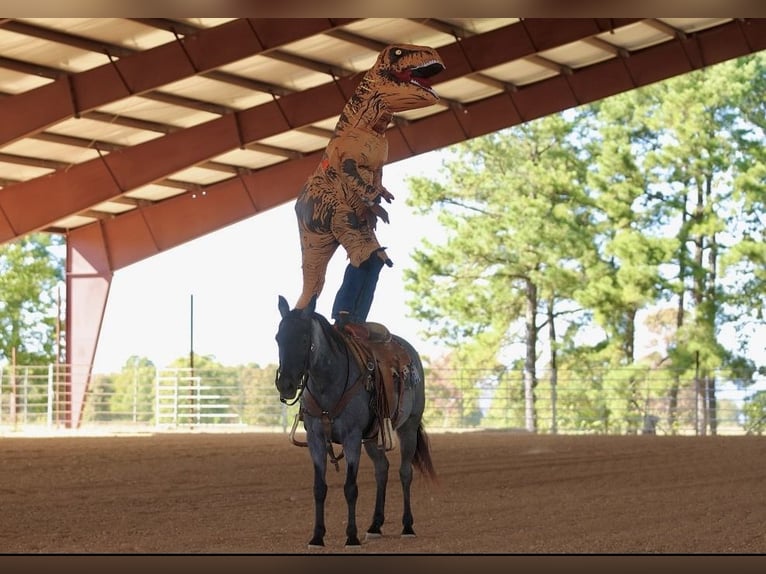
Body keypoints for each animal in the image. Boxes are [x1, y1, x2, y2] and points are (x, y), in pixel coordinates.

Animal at [275, 294, 437, 548]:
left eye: (303, 339)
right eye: (278, 338)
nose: (285, 385)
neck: (329, 382)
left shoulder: (351, 438)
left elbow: (350, 488)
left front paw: (351, 537)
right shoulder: (316, 439)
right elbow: (319, 487)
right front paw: (317, 537)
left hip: (408, 428)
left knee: (405, 472)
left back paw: (407, 526)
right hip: (371, 438)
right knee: (382, 469)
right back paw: (375, 526)